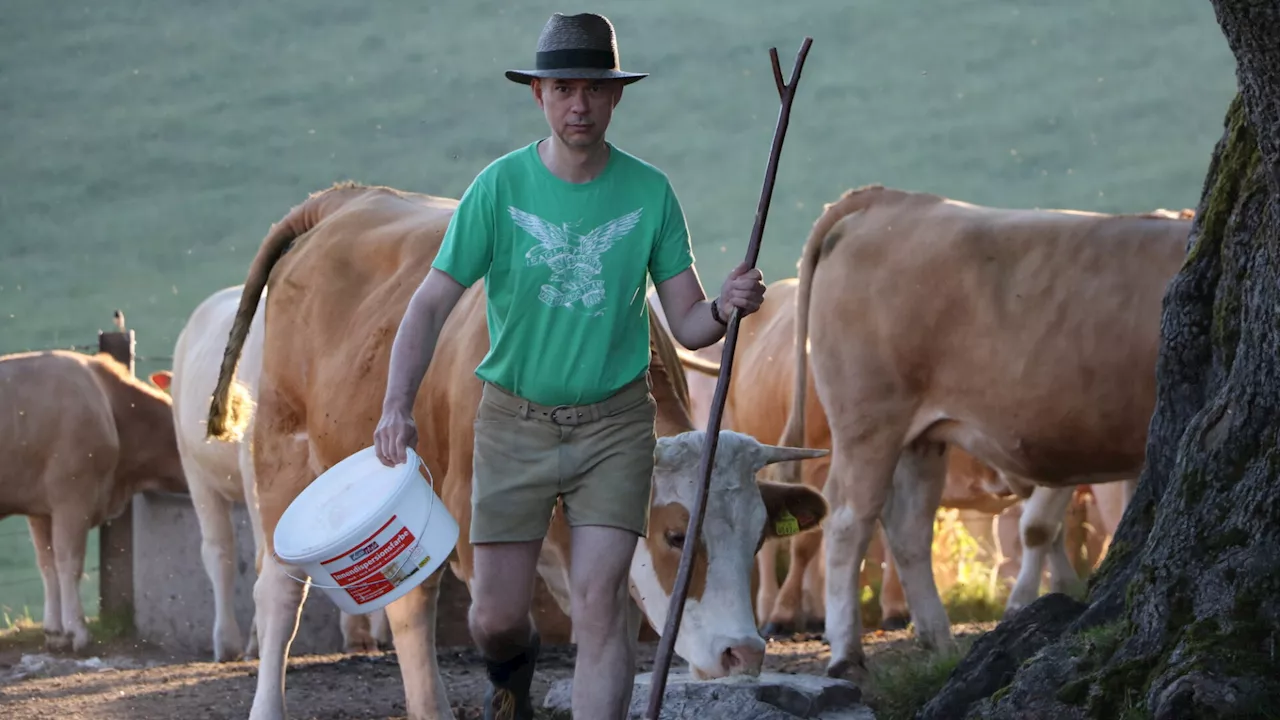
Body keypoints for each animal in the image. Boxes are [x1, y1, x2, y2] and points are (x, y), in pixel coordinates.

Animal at [0, 348, 185, 650]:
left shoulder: (40, 509)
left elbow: (48, 565)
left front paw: (55, 631)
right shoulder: (73, 498)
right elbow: (69, 563)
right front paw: (77, 630)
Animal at [778, 184, 1187, 676]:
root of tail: (895, 200)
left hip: (920, 438)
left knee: (908, 528)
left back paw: (939, 642)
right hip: (869, 421)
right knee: (847, 521)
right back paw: (845, 653)